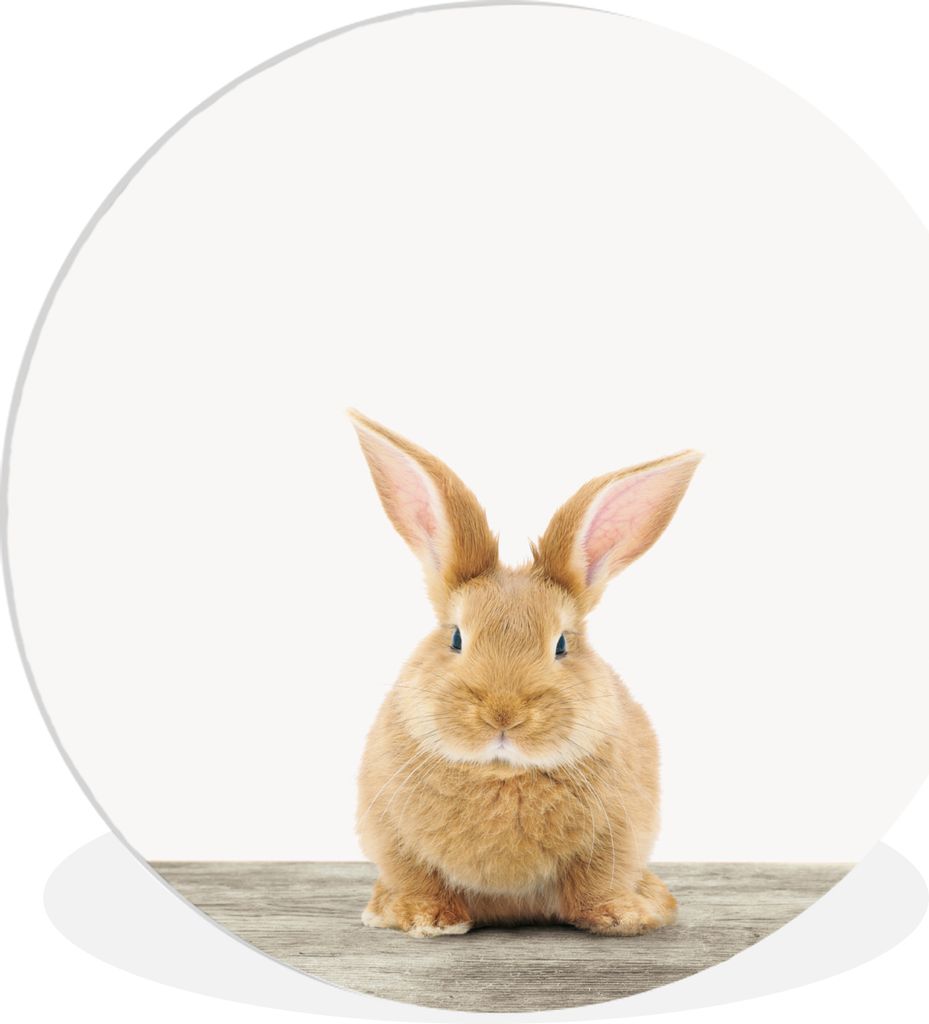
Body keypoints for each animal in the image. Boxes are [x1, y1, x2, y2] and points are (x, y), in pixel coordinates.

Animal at [349, 410, 701, 937]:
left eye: (562, 644)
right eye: (456, 637)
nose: (503, 714)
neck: (502, 772)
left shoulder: (616, 836)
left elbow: (596, 882)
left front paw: (621, 916)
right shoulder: (394, 836)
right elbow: (419, 878)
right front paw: (427, 919)